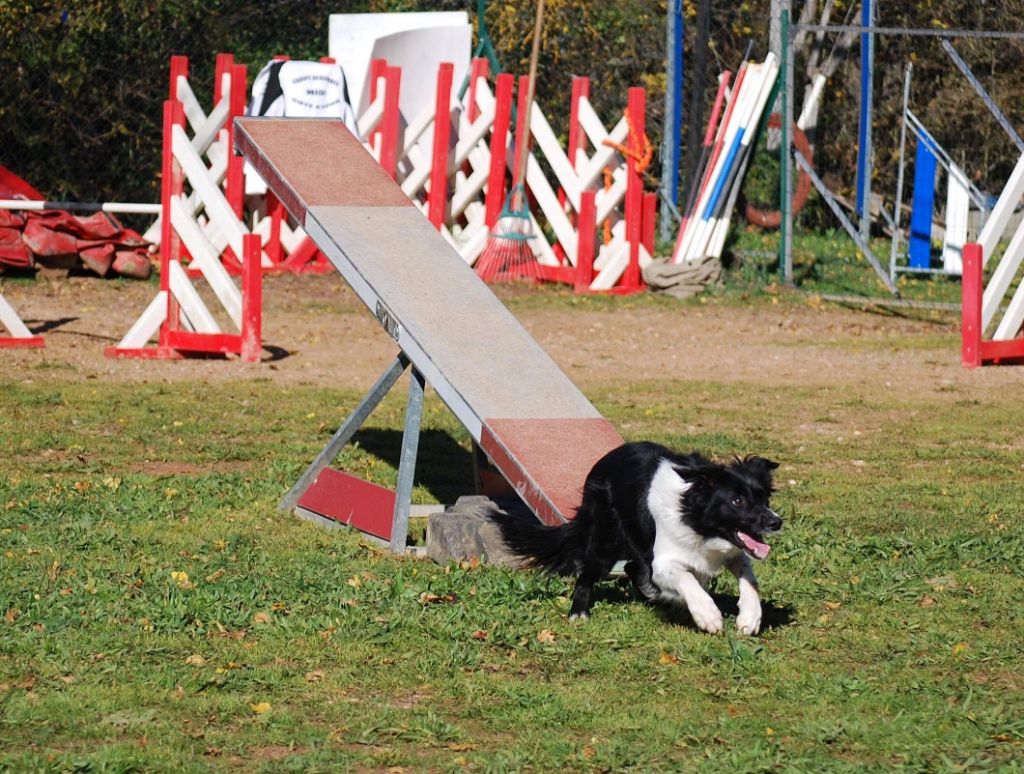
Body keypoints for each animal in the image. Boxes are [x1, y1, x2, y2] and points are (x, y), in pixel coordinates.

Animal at [491, 442, 778, 634]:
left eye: (764, 498)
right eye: (737, 500)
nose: (776, 522)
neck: (696, 520)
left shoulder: (731, 551)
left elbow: (749, 578)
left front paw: (750, 617)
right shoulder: (661, 561)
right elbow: (685, 578)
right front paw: (708, 615)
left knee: (631, 566)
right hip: (606, 541)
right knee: (588, 574)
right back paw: (579, 613)